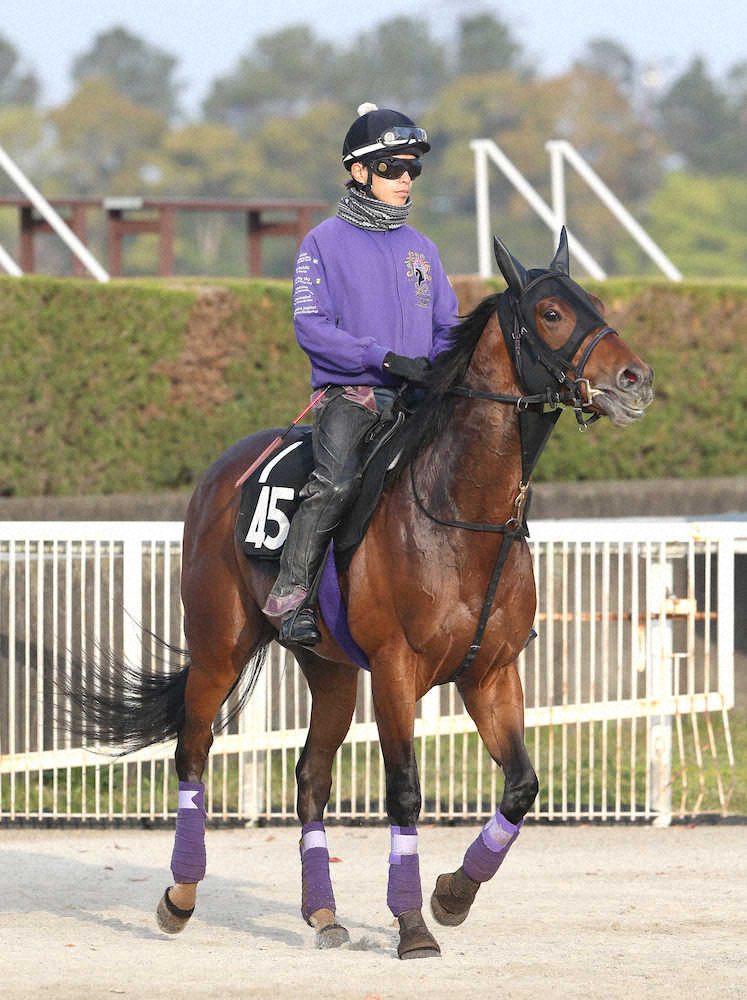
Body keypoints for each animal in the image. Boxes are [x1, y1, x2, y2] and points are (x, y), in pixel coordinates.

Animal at [75, 229, 654, 959]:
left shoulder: (491, 672)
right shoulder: (396, 670)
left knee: (311, 777)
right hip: (218, 648)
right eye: (550, 313)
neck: (458, 513)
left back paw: (322, 914)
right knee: (192, 754)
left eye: (594, 304)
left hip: (330, 671)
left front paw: (452, 894)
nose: (635, 379)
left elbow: (521, 787)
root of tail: (222, 472)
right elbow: (404, 793)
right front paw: (412, 927)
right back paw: (180, 896)